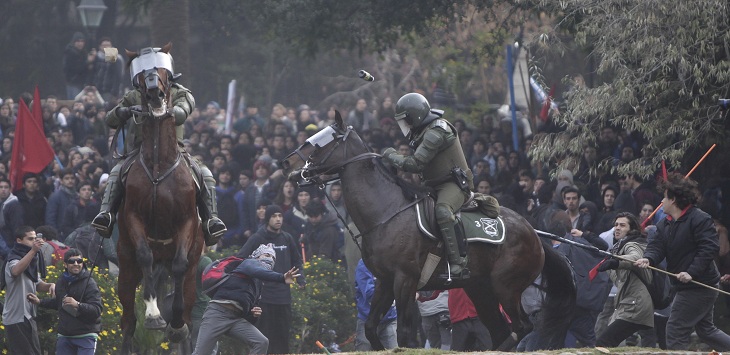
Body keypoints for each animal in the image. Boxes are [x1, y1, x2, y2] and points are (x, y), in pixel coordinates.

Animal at [117, 42, 202, 354]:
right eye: (143, 75)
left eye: (164, 72)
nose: (155, 94)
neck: (158, 167)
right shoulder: (133, 217)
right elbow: (144, 255)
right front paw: (154, 315)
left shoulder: (186, 222)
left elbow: (179, 266)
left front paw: (174, 324)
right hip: (125, 269)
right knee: (128, 321)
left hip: (191, 275)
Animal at [282, 113, 576, 350]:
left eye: (322, 141)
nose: (287, 164)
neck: (386, 213)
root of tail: (534, 235)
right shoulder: (385, 281)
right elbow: (370, 328)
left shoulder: (405, 280)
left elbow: (403, 333)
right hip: (480, 290)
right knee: (502, 329)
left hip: (505, 287)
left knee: (521, 327)